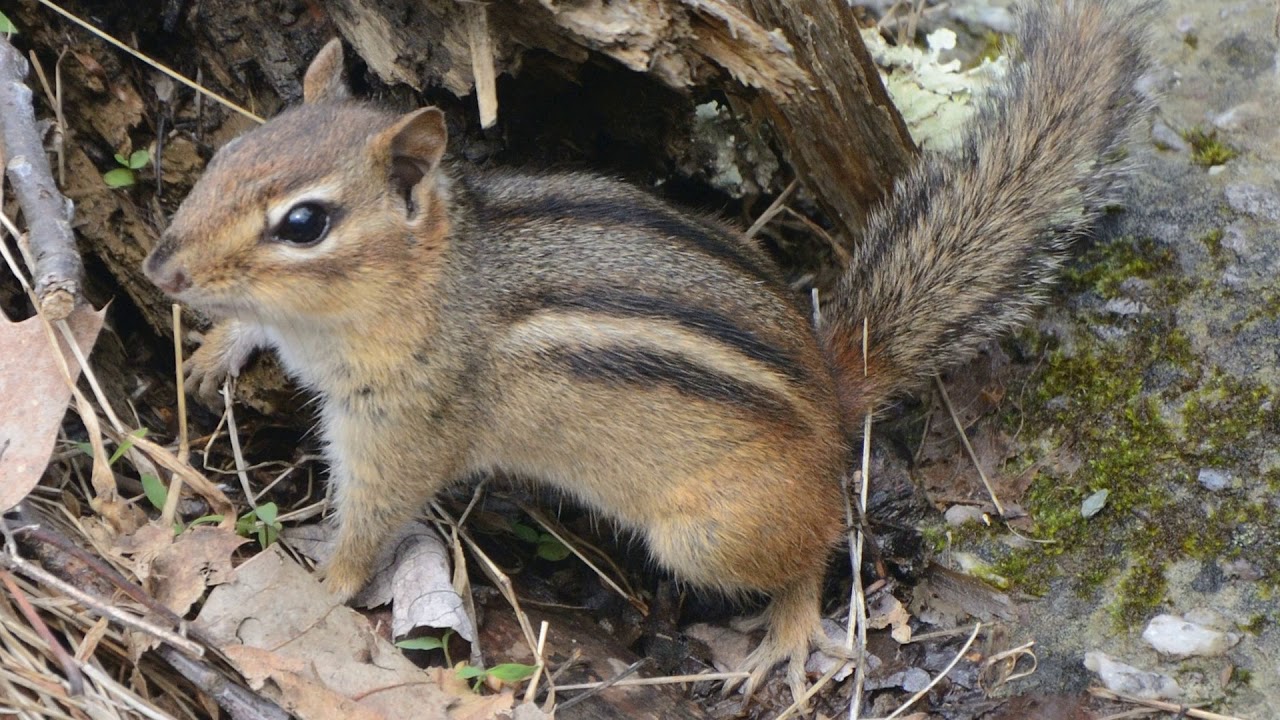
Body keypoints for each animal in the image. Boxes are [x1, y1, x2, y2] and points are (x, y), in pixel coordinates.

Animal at [143, 0, 1151, 704]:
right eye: (229, 154)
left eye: (304, 224)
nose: (162, 268)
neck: (426, 282)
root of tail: (832, 391)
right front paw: (216, 347)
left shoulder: (403, 429)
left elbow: (372, 524)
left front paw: (318, 590)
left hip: (712, 530)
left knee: (819, 541)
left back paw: (788, 632)